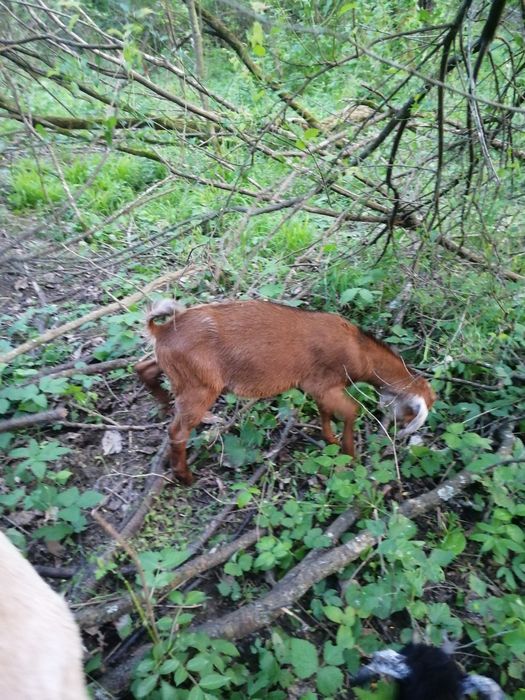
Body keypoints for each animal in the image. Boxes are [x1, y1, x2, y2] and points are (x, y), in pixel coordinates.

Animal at [136, 299, 436, 485]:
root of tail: (162, 331)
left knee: (143, 367)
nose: (396, 434)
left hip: (177, 371)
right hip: (201, 386)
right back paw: (185, 477)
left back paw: (164, 405)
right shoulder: (324, 383)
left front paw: (331, 440)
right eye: (413, 414)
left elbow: (325, 412)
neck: (360, 352)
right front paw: (350, 456)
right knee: (177, 432)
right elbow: (352, 411)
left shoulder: (319, 388)